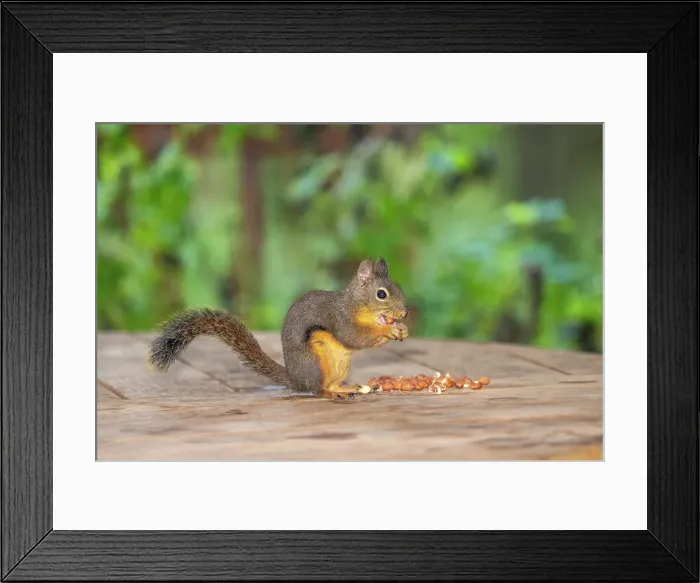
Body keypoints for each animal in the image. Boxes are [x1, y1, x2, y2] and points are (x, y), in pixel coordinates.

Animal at [147, 257, 408, 400]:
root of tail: (296, 380)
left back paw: (346, 388)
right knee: (317, 389)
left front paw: (401, 328)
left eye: (398, 286)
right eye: (381, 294)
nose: (404, 312)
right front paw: (388, 330)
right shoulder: (340, 319)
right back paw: (330, 393)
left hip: (341, 366)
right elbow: (354, 338)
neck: (356, 305)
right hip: (314, 362)